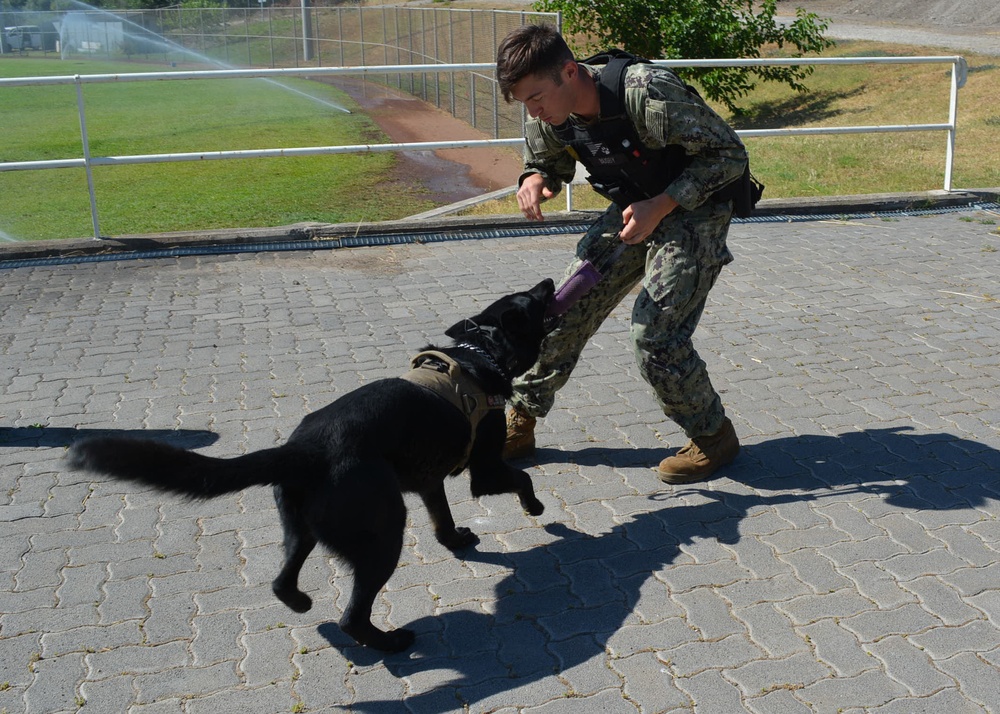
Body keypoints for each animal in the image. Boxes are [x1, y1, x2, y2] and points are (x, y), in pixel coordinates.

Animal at [68, 278, 556, 652]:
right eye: (533, 300)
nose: (551, 281)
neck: (480, 354)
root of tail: (305, 450)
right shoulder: (485, 469)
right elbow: (521, 477)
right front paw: (536, 509)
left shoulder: (428, 480)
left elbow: (442, 519)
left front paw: (455, 540)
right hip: (383, 531)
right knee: (352, 616)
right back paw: (390, 642)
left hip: (303, 526)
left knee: (281, 582)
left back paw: (302, 604)